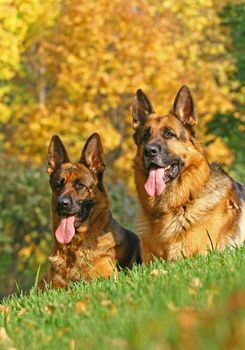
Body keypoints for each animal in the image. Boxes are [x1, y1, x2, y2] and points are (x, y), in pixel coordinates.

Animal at [39, 133, 141, 288]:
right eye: (58, 185)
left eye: (80, 185)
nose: (62, 203)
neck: (73, 249)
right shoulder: (54, 287)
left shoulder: (106, 278)